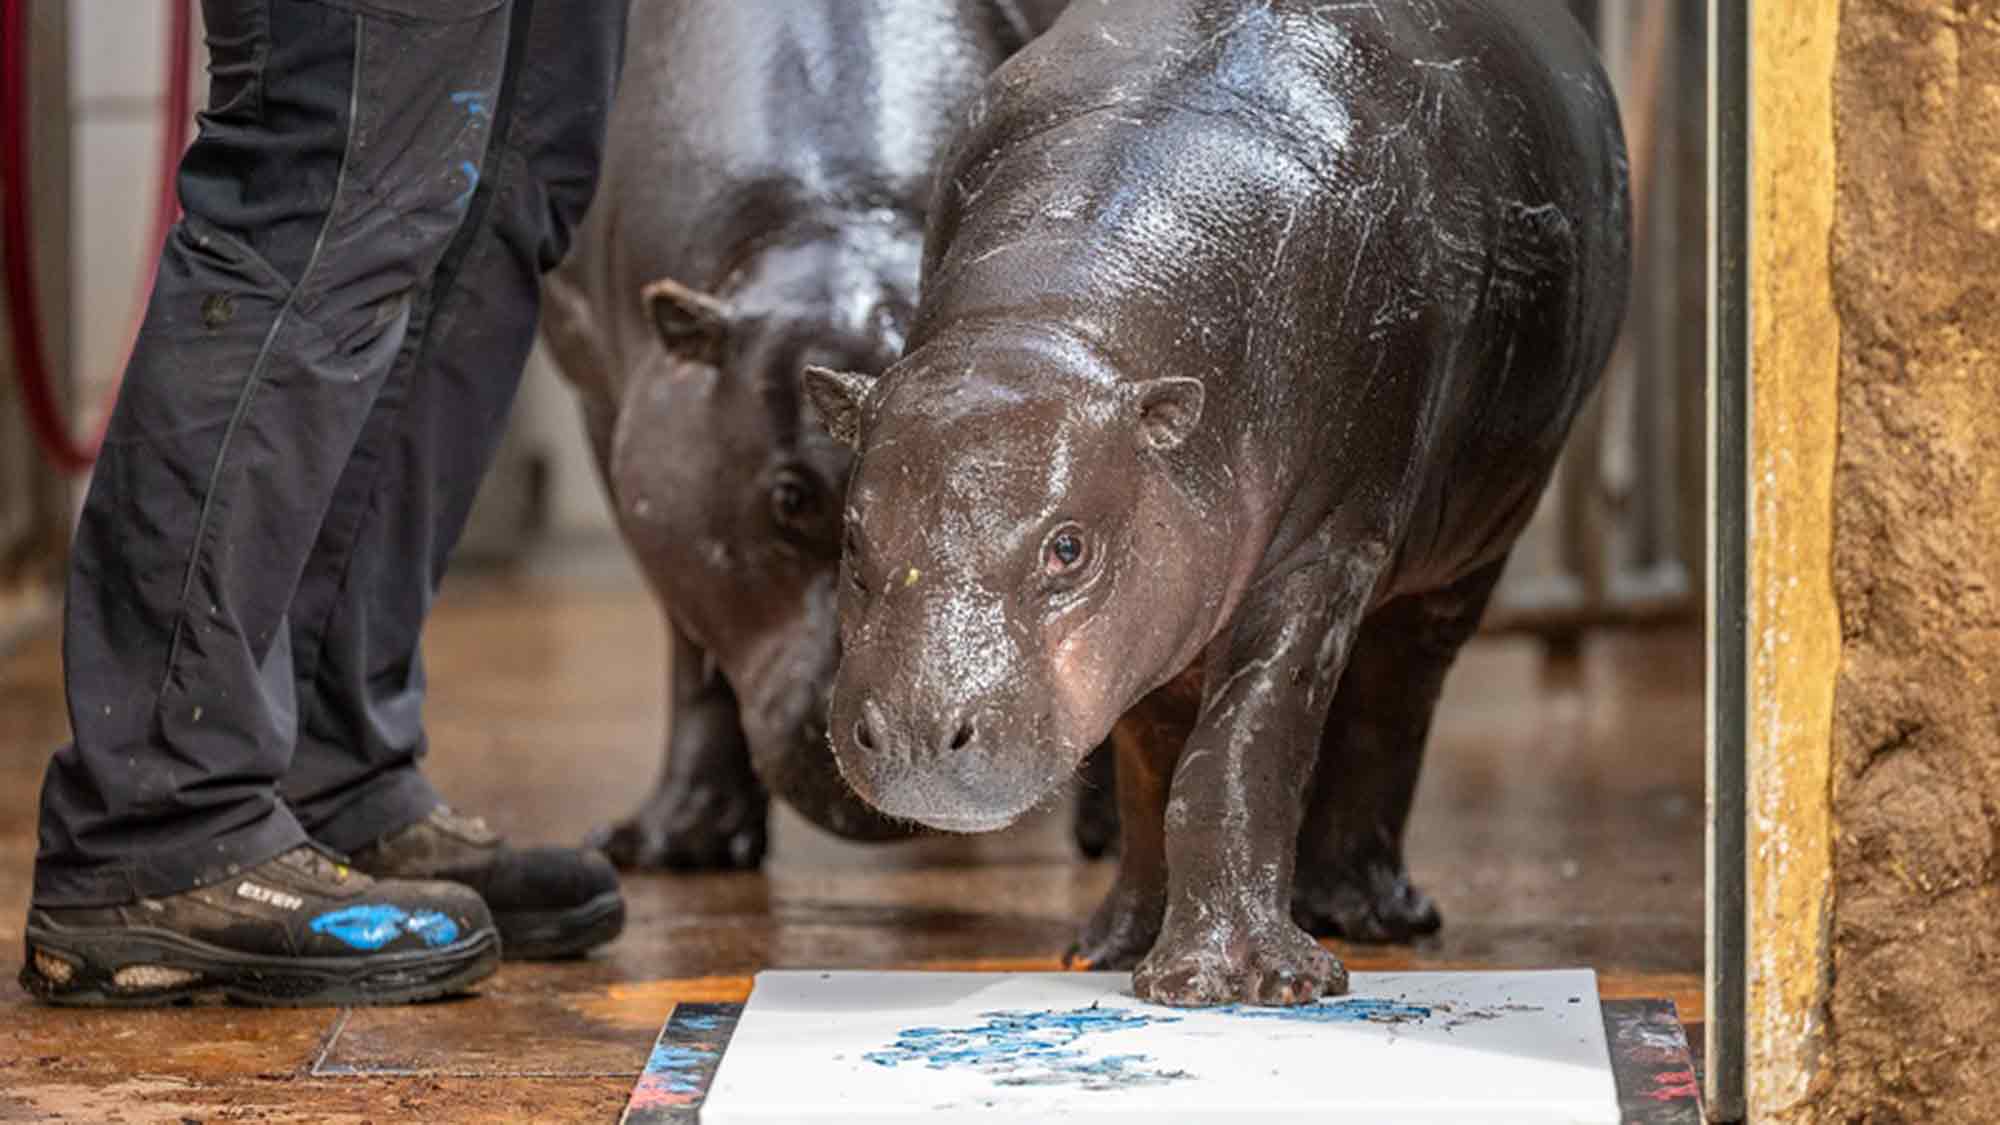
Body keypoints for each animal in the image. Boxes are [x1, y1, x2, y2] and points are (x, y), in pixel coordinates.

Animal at [539, 0, 1086, 869]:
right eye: (789, 497)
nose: (909, 738)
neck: (830, 212)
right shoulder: (612, 407)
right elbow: (689, 643)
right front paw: (671, 842)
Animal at [805, 0, 1630, 1005]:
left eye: (1067, 547)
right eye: (851, 542)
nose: (921, 732)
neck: (1059, 330)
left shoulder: (1327, 542)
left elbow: (1246, 742)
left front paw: (1252, 983)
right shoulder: (1156, 599)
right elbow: (1152, 757)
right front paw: (1112, 952)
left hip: (1471, 551)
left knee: (1398, 689)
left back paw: (1371, 914)